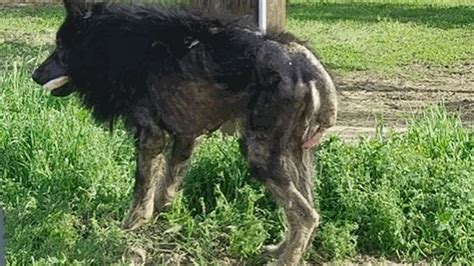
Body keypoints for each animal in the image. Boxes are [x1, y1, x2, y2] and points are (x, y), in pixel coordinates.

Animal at [32, 1, 336, 264]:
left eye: (60, 46)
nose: (34, 75)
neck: (110, 44)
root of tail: (310, 67)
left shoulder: (151, 136)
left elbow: (142, 189)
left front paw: (130, 226)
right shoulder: (186, 136)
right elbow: (166, 187)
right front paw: (159, 219)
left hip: (260, 155)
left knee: (305, 215)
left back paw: (287, 259)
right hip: (297, 156)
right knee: (309, 209)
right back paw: (281, 249)